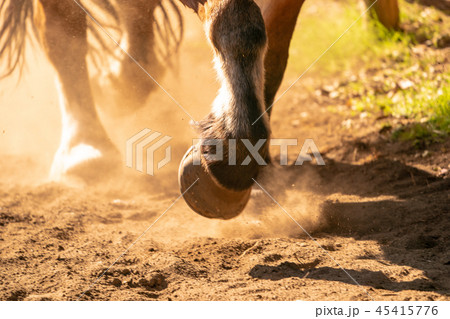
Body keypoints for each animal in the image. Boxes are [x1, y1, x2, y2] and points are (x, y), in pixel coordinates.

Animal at [0, 0, 400, 220]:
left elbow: (266, 37)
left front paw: (238, 150)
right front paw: (232, 151)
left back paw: (117, 86)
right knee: (62, 27)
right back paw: (85, 149)